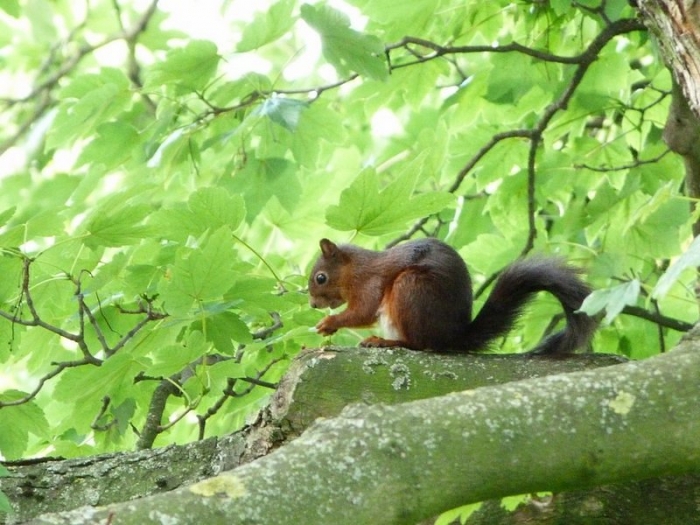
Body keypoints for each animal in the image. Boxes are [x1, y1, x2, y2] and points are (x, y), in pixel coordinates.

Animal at [308, 238, 596, 353]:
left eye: (321, 277)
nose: (312, 304)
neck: (353, 270)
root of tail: (453, 336)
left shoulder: (370, 282)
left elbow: (364, 311)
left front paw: (329, 323)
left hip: (410, 288)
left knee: (419, 344)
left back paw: (385, 342)